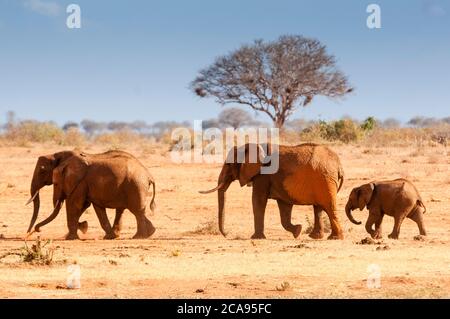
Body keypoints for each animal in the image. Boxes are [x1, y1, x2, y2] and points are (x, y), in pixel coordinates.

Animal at [26, 150, 156, 240]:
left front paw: (71, 237)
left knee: (137, 211)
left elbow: (75, 204)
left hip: (136, 186)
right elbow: (92, 207)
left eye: (42, 171)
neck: (58, 155)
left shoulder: (80, 182)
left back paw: (139, 237)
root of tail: (149, 174)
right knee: (125, 210)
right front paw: (83, 229)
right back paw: (147, 233)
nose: (35, 231)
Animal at [200, 144, 344, 240]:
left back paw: (335, 238)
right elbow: (284, 207)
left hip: (325, 180)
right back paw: (316, 237)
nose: (227, 234)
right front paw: (297, 231)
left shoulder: (263, 175)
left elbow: (258, 200)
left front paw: (256, 238)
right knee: (318, 207)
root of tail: (339, 165)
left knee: (329, 207)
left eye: (229, 164)